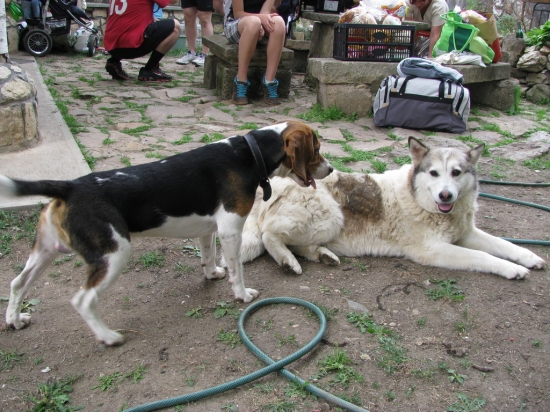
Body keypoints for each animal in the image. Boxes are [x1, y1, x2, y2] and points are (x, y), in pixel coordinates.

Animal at [0, 120, 334, 346]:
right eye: (317, 151)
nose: (330, 170)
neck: (250, 153)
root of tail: (70, 186)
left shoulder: (210, 230)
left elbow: (209, 256)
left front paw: (212, 274)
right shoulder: (230, 231)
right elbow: (237, 270)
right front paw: (241, 295)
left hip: (46, 251)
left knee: (18, 284)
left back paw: (15, 320)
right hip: (114, 254)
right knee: (83, 301)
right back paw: (109, 336)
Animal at [236, 137, 548, 278]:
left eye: (456, 173)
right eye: (434, 173)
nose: (446, 196)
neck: (421, 201)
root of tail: (275, 183)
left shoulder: (466, 233)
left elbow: (504, 244)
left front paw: (529, 257)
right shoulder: (434, 249)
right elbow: (483, 257)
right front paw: (512, 269)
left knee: (295, 242)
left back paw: (323, 255)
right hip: (331, 216)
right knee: (268, 234)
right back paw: (287, 261)